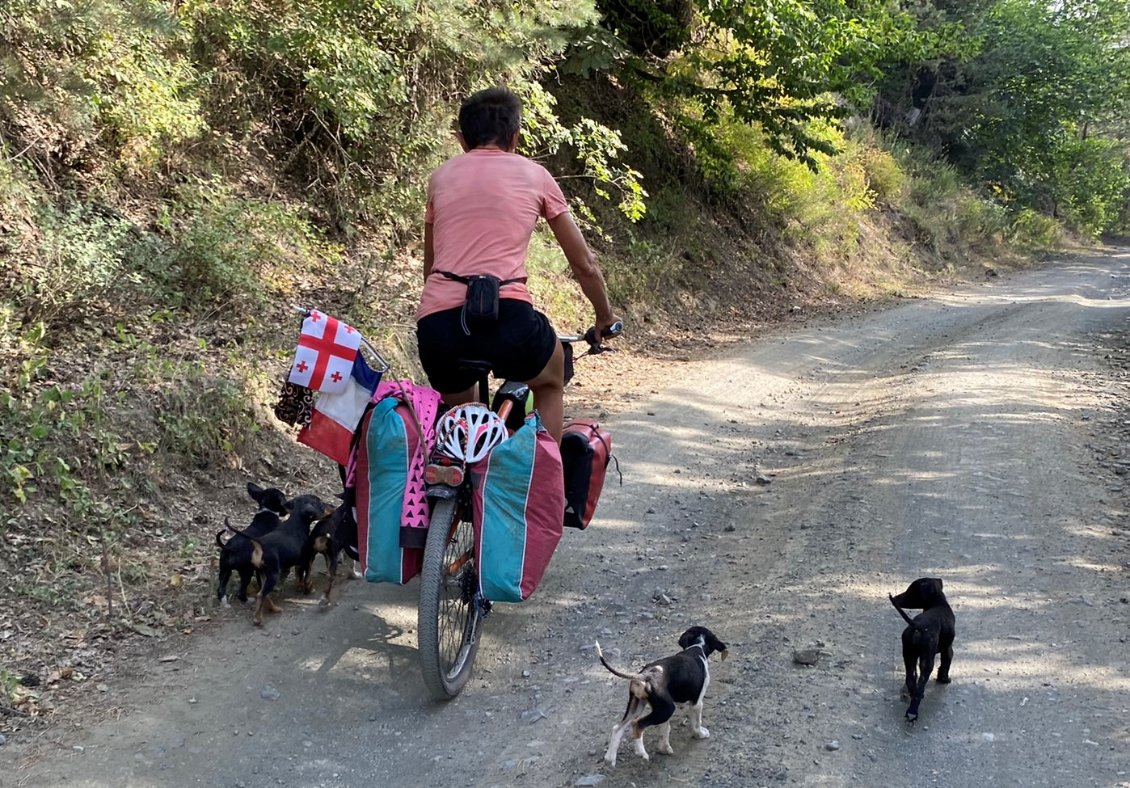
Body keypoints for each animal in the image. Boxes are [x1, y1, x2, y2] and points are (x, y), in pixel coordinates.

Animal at [231, 492, 332, 628]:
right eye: (320, 504)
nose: (332, 506)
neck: (297, 521)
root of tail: (259, 544)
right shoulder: (306, 560)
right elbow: (306, 577)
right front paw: (308, 589)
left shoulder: (298, 563)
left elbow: (299, 576)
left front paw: (299, 587)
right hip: (273, 574)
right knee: (261, 595)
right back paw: (258, 619)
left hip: (263, 573)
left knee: (265, 593)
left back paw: (274, 609)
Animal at [596, 624, 727, 764]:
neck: (697, 647)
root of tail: (645, 675)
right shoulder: (696, 703)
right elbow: (697, 723)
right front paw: (700, 734)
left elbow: (665, 728)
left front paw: (664, 748)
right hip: (666, 709)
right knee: (637, 724)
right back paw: (642, 753)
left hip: (638, 706)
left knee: (617, 728)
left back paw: (610, 758)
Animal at [890, 574, 953, 723]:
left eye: (910, 591)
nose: (896, 598)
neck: (938, 602)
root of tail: (917, 626)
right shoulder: (948, 648)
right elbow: (946, 662)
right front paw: (944, 679)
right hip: (926, 661)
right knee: (920, 685)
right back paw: (913, 712)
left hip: (908, 655)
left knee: (911, 678)